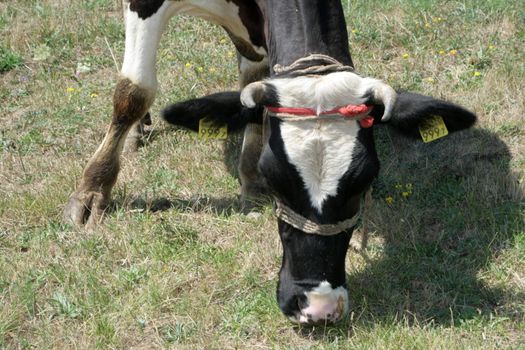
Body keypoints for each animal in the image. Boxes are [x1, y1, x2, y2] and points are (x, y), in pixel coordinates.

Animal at [63, 0, 476, 324]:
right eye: (276, 178)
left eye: (365, 181)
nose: (318, 308)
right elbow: (133, 91)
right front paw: (91, 191)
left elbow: (254, 83)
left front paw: (248, 181)